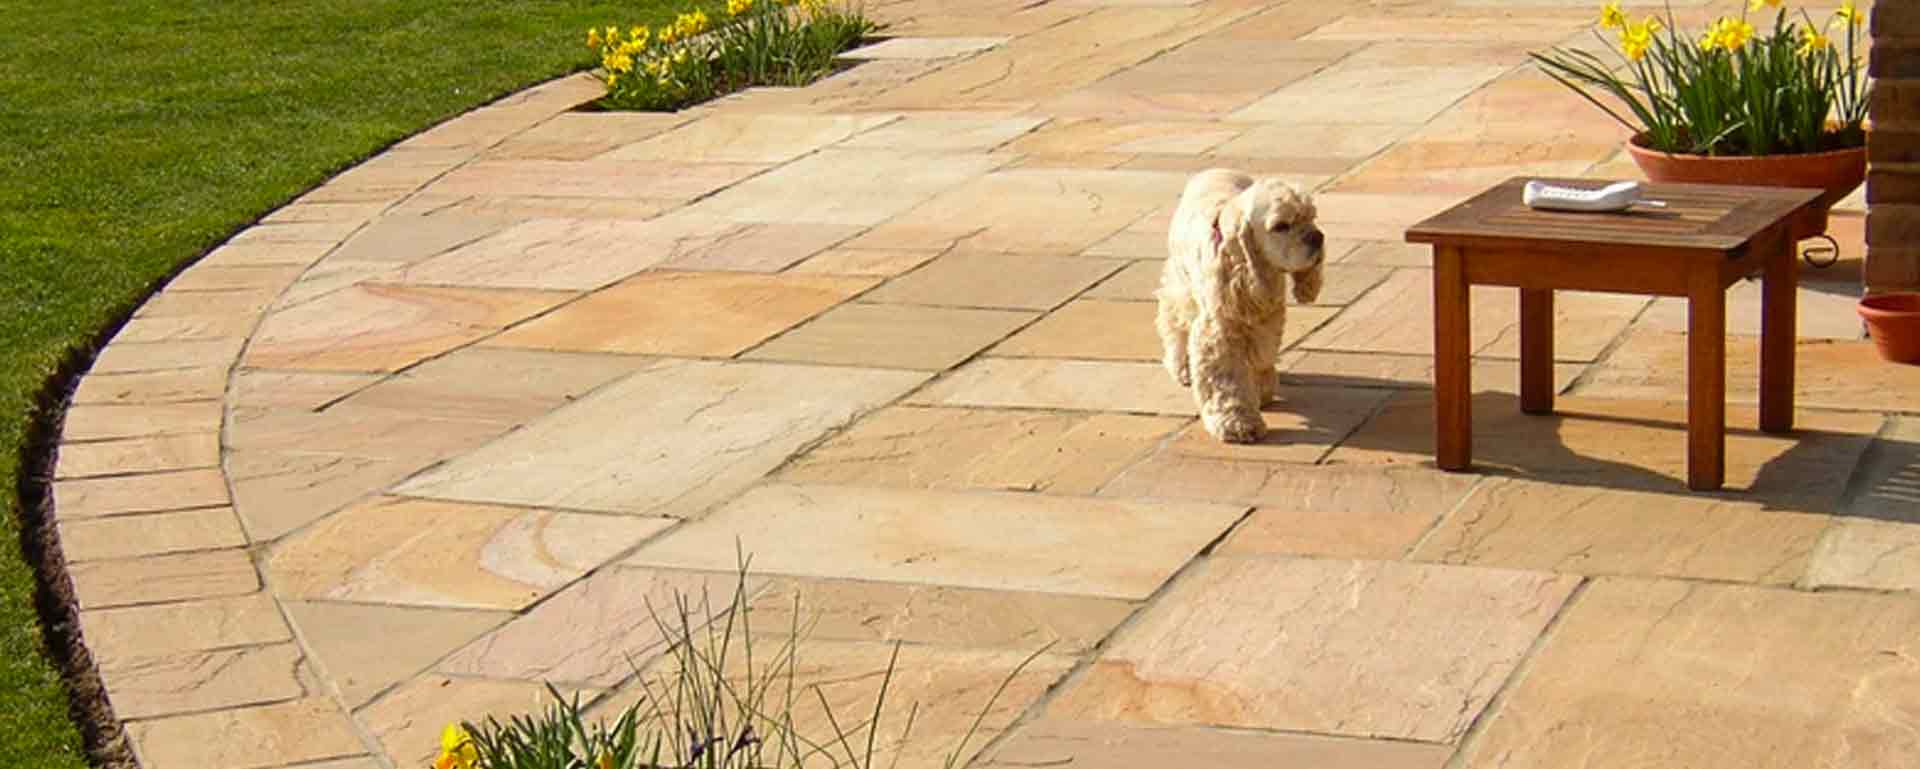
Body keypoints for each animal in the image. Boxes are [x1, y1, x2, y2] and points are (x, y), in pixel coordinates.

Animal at [1152, 167, 1320, 442]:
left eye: (1312, 217)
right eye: (1281, 226)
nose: (1318, 237)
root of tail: (1213, 170)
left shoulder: (1267, 318)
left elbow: (1262, 355)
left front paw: (1261, 389)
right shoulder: (1219, 329)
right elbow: (1226, 378)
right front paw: (1237, 423)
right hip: (1180, 284)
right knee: (1173, 320)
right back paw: (1182, 366)